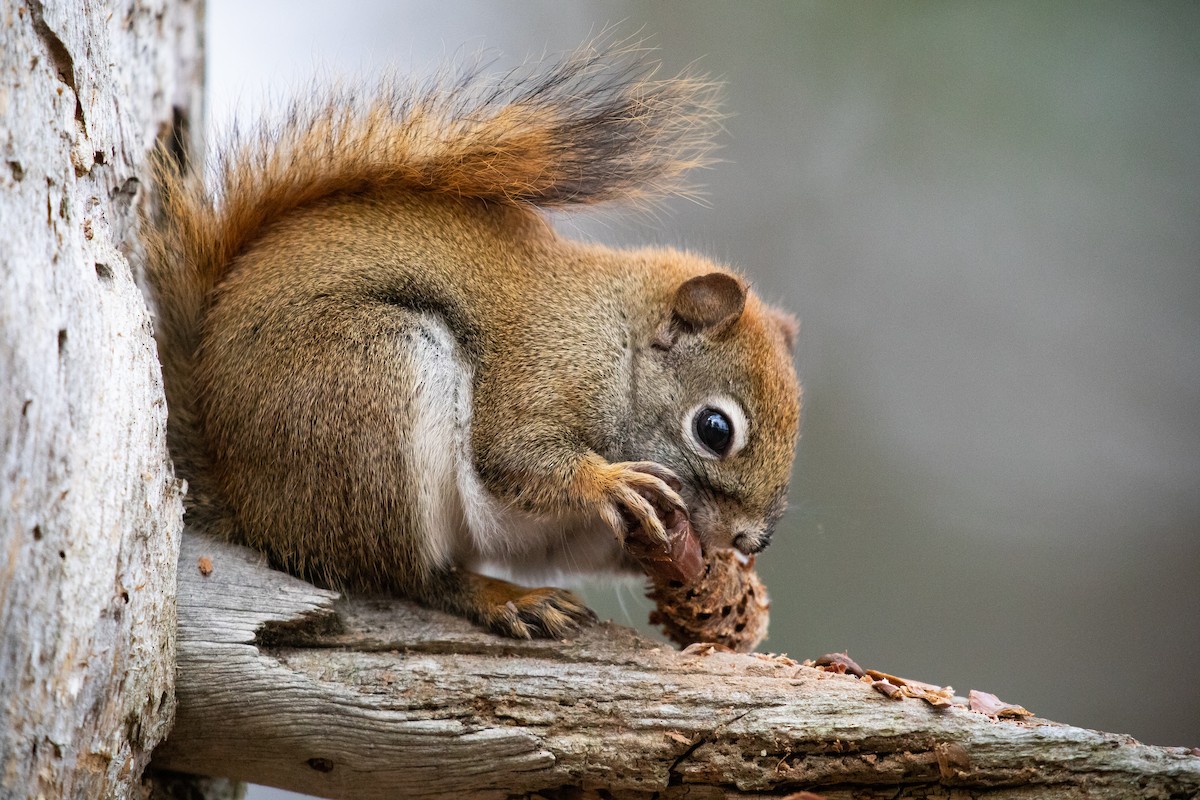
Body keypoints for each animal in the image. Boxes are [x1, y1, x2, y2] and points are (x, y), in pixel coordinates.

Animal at [144, 45, 802, 639]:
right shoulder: (547, 366)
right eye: (714, 429)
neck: (618, 343)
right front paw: (609, 482)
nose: (751, 540)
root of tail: (243, 495)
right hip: (370, 397)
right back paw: (500, 597)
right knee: (404, 577)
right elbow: (512, 452)